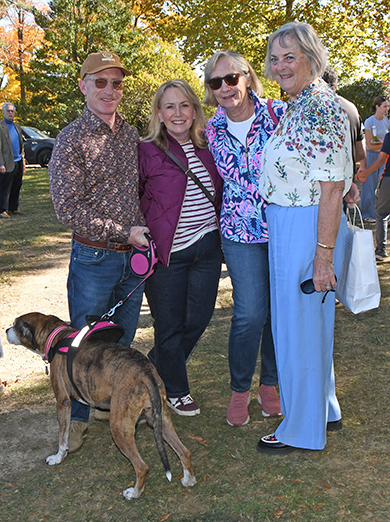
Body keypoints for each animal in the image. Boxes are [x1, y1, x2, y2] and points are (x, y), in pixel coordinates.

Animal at [8, 310, 198, 498]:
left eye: (16, 325)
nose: (6, 330)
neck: (55, 335)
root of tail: (146, 372)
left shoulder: (62, 402)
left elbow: (63, 438)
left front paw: (58, 458)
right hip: (160, 419)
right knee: (185, 451)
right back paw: (189, 480)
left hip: (119, 428)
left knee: (142, 467)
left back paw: (134, 493)